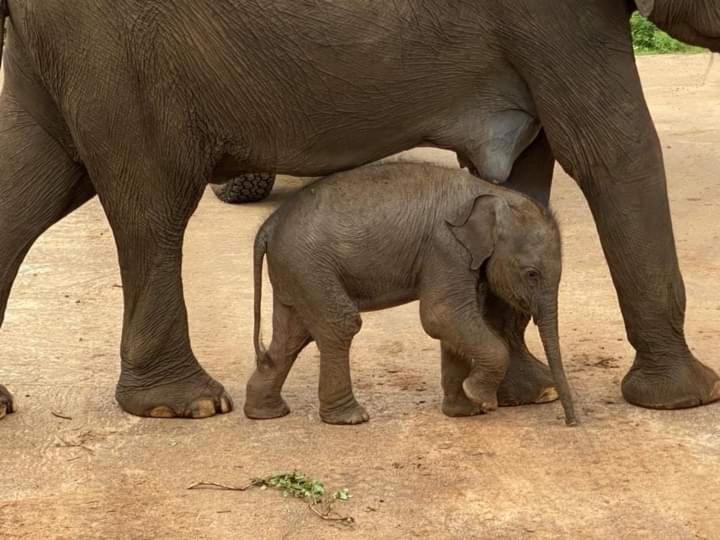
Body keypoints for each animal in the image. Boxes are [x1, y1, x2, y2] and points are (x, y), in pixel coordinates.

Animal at [245, 162, 576, 424]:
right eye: (531, 274)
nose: (571, 422)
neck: (491, 192)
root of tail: (268, 226)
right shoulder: (445, 247)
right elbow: (441, 315)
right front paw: (481, 399)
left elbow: (452, 323)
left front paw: (464, 411)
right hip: (309, 264)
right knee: (339, 324)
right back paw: (350, 418)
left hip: (297, 270)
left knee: (292, 336)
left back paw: (266, 413)